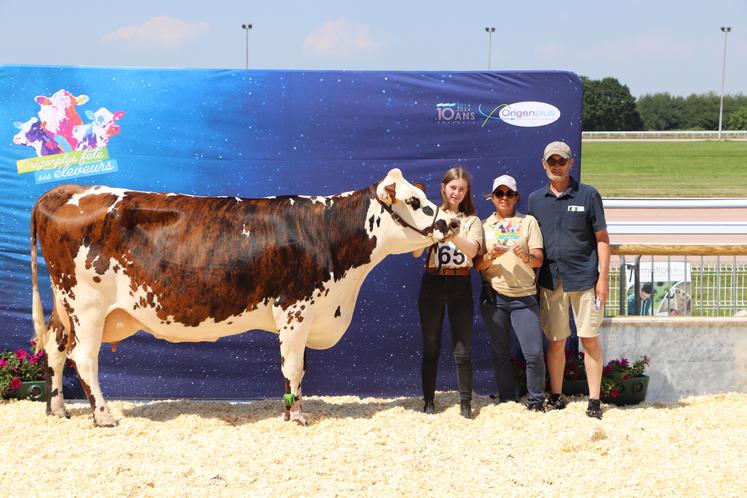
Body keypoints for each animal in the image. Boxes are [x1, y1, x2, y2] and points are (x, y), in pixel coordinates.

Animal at [32, 169, 458, 426]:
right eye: (415, 202)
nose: (452, 221)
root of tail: (65, 191)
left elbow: (294, 369)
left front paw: (290, 411)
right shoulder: (295, 310)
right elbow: (294, 367)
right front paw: (297, 417)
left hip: (65, 304)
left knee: (55, 347)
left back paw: (58, 410)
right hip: (88, 306)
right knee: (84, 358)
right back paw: (103, 416)